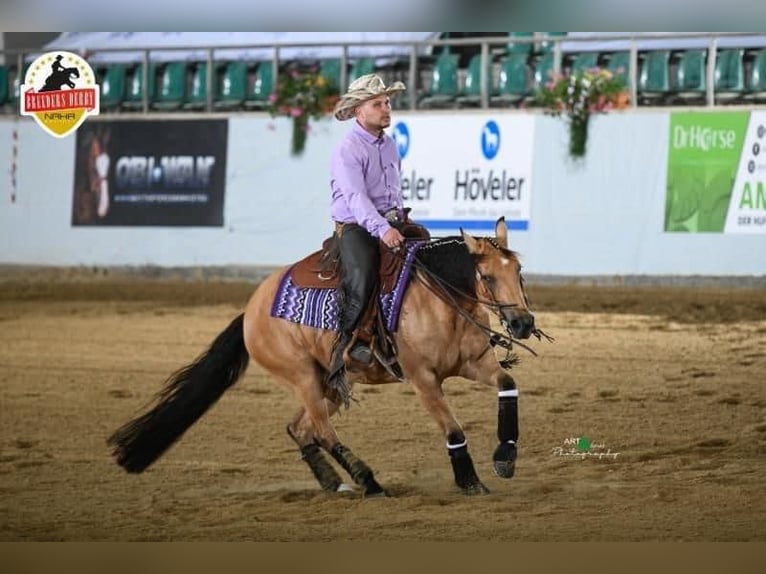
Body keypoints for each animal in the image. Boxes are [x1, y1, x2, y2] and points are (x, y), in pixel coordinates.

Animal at [109, 218, 552, 498]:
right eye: (488, 277)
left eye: (519, 272)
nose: (523, 323)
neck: (439, 299)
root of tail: (250, 310)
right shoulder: (424, 379)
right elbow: (453, 430)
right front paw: (470, 482)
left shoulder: (476, 363)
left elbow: (508, 385)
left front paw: (505, 456)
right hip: (302, 376)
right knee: (322, 432)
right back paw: (369, 482)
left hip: (332, 383)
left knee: (300, 429)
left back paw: (334, 483)